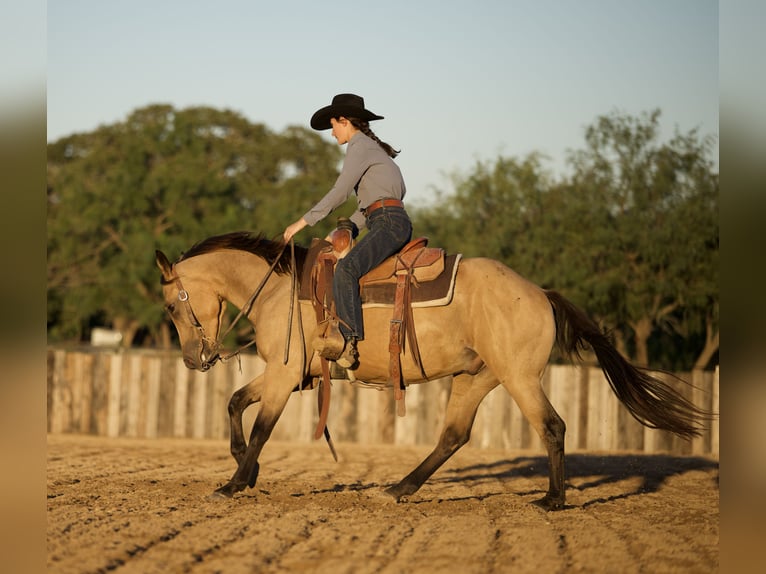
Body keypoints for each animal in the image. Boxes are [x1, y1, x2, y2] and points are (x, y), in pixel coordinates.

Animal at [155, 231, 708, 510]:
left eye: (170, 306)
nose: (192, 359)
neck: (279, 290)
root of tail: (539, 292)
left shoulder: (285, 376)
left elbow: (262, 427)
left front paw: (233, 483)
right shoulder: (282, 375)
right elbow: (235, 404)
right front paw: (243, 472)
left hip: (519, 378)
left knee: (551, 426)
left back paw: (553, 500)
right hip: (475, 379)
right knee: (453, 436)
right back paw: (400, 489)